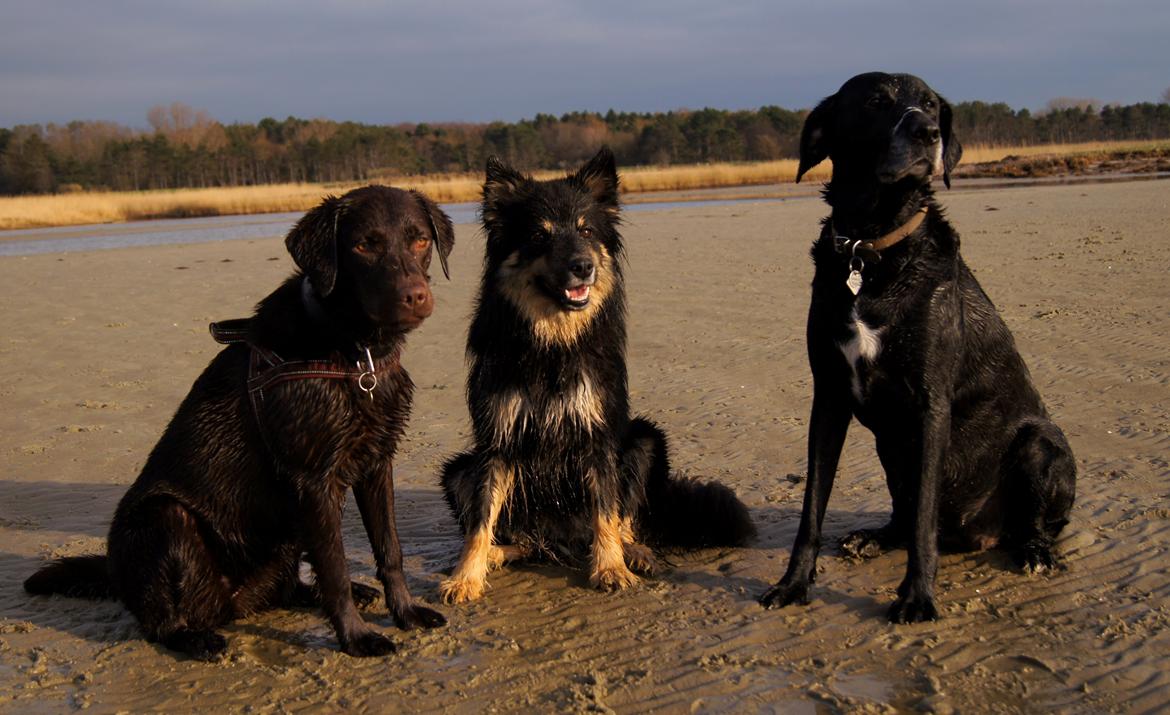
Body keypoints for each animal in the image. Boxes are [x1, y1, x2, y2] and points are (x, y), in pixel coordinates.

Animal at [23, 184, 451, 660]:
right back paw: (195, 638)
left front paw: (406, 613)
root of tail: (231, 602)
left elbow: (389, 550)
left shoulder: (376, 464)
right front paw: (356, 638)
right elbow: (335, 567)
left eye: (419, 240)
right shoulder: (313, 480)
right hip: (164, 517)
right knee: (159, 622)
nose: (414, 296)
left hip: (285, 531)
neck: (356, 355)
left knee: (289, 588)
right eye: (363, 246)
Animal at [435, 149, 753, 603]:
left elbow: (605, 507)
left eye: (586, 230)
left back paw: (632, 551)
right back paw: (499, 553)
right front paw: (466, 577)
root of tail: (561, 539)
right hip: (459, 470)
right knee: (520, 538)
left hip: (645, 439)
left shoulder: (597, 433)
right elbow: (481, 519)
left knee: (624, 519)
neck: (552, 343)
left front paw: (610, 568)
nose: (583, 267)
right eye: (540, 236)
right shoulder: (497, 439)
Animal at [758, 71, 1076, 622]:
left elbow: (924, 515)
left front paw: (917, 596)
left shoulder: (931, 406)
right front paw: (792, 583)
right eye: (875, 102)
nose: (929, 134)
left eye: (930, 104)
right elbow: (811, 509)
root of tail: (976, 534)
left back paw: (1033, 549)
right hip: (890, 448)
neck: (871, 248)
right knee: (903, 515)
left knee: (1027, 523)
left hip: (1041, 443)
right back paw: (873, 537)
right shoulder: (829, 400)